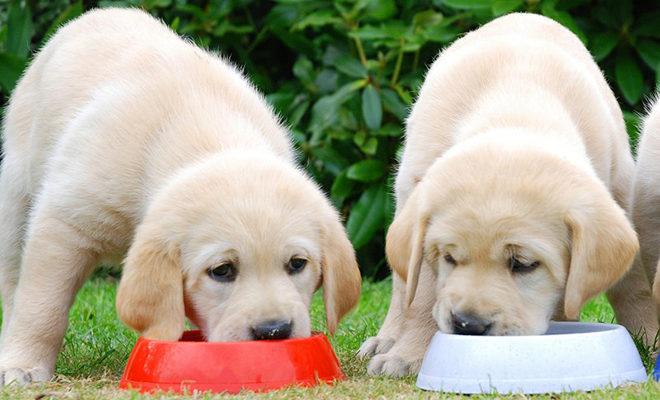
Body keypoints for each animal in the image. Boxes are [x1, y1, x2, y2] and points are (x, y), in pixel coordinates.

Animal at [0, 8, 360, 384]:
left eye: (297, 264)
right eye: (222, 271)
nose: (273, 331)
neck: (206, 137)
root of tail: (102, 12)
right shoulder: (65, 222)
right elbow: (42, 303)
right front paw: (24, 364)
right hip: (15, 196)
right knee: (13, 282)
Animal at [360, 12, 660, 376]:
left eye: (523, 265)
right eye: (450, 258)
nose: (468, 325)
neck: (516, 105)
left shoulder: (619, 191)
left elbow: (634, 284)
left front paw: (650, 336)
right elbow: (423, 294)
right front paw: (408, 354)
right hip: (405, 193)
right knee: (403, 284)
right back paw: (387, 338)